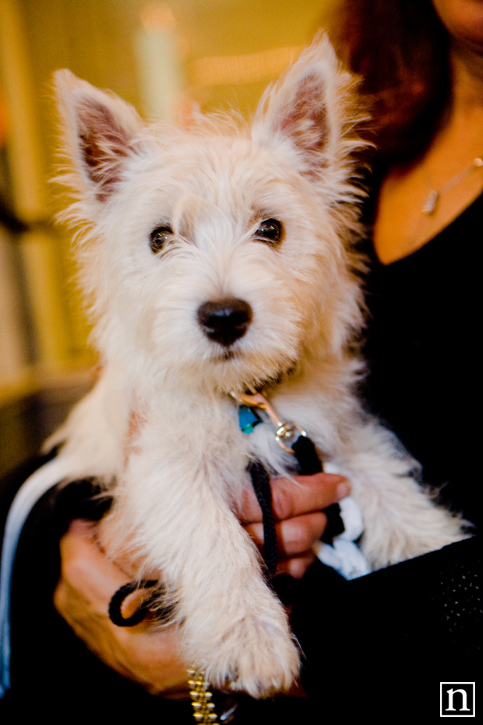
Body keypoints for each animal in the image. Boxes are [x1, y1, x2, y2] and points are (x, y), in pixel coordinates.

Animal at [46, 38, 466, 696]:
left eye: (271, 228)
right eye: (160, 238)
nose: (224, 317)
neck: (242, 398)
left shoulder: (325, 434)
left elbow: (386, 485)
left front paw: (431, 538)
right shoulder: (160, 465)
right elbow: (209, 532)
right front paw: (248, 637)